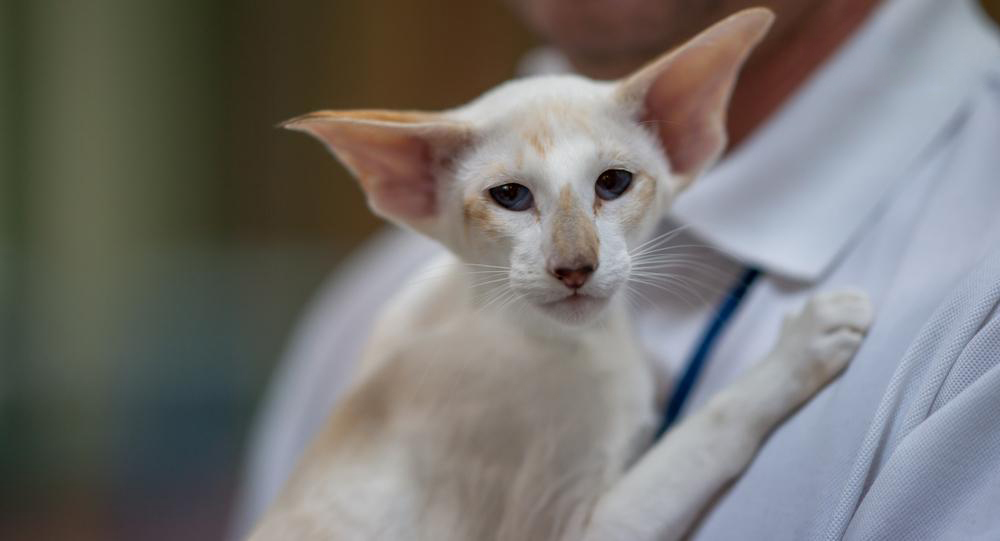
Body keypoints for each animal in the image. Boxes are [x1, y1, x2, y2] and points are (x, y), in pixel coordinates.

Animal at [252, 8, 876, 540]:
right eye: (510, 196)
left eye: (613, 183)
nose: (574, 267)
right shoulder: (564, 524)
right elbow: (706, 429)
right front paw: (804, 343)